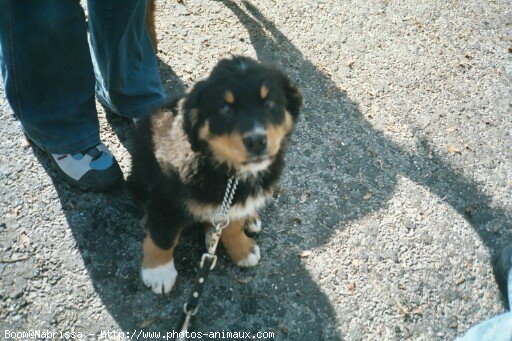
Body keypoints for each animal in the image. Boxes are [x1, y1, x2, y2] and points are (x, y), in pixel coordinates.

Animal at [128, 55, 302, 292]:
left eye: (269, 104)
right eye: (226, 110)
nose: (257, 141)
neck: (230, 173)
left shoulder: (232, 204)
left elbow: (233, 225)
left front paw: (242, 249)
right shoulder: (166, 200)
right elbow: (163, 236)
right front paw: (159, 272)